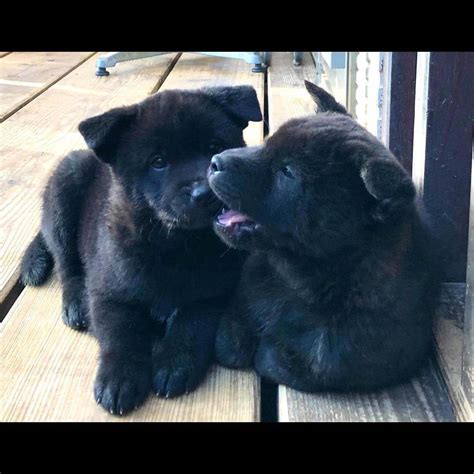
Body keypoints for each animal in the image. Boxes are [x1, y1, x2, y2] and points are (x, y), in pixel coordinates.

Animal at [209, 81, 438, 392]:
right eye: (266, 144)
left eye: (287, 172)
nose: (214, 161)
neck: (298, 282)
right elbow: (231, 341)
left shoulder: (357, 358)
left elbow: (281, 360)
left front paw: (266, 349)